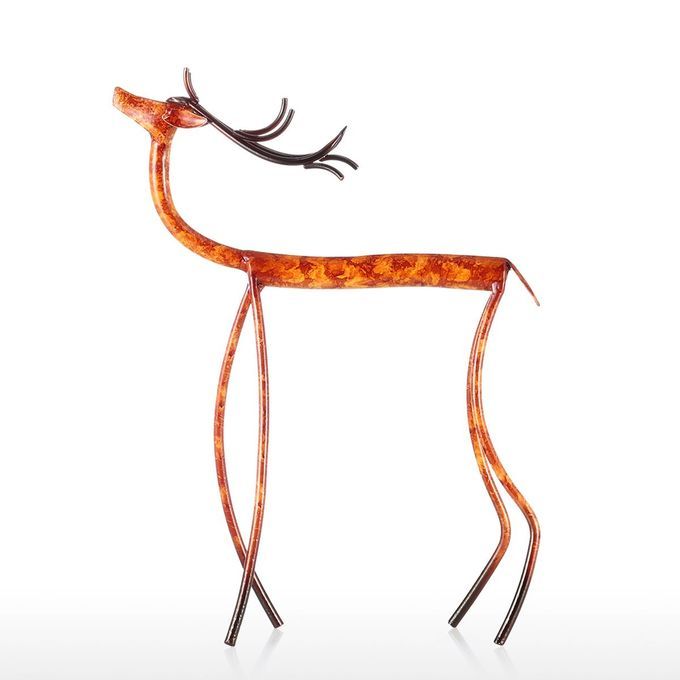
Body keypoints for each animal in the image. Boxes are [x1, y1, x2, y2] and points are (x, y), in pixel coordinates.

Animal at [113, 68, 541, 648]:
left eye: (162, 108)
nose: (118, 96)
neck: (240, 254)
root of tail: (506, 267)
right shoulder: (255, 286)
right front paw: (266, 619)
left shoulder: (254, 287)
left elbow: (252, 465)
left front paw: (236, 629)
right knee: (509, 516)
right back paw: (468, 619)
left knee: (522, 510)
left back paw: (496, 627)